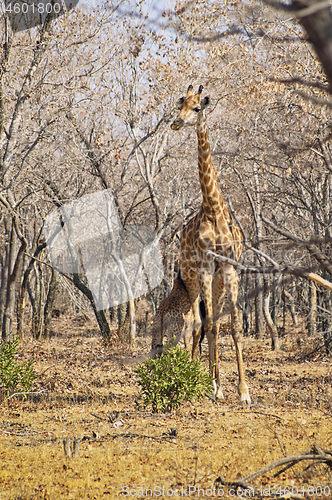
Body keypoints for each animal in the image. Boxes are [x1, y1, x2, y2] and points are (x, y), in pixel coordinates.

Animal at [171, 85, 252, 406]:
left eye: (197, 108)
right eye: (180, 105)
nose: (176, 123)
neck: (213, 209)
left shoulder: (229, 268)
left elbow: (235, 327)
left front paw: (243, 392)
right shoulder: (206, 268)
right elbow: (208, 326)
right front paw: (211, 386)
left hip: (216, 282)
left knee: (210, 323)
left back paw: (211, 380)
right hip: (192, 278)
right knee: (195, 323)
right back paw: (196, 376)